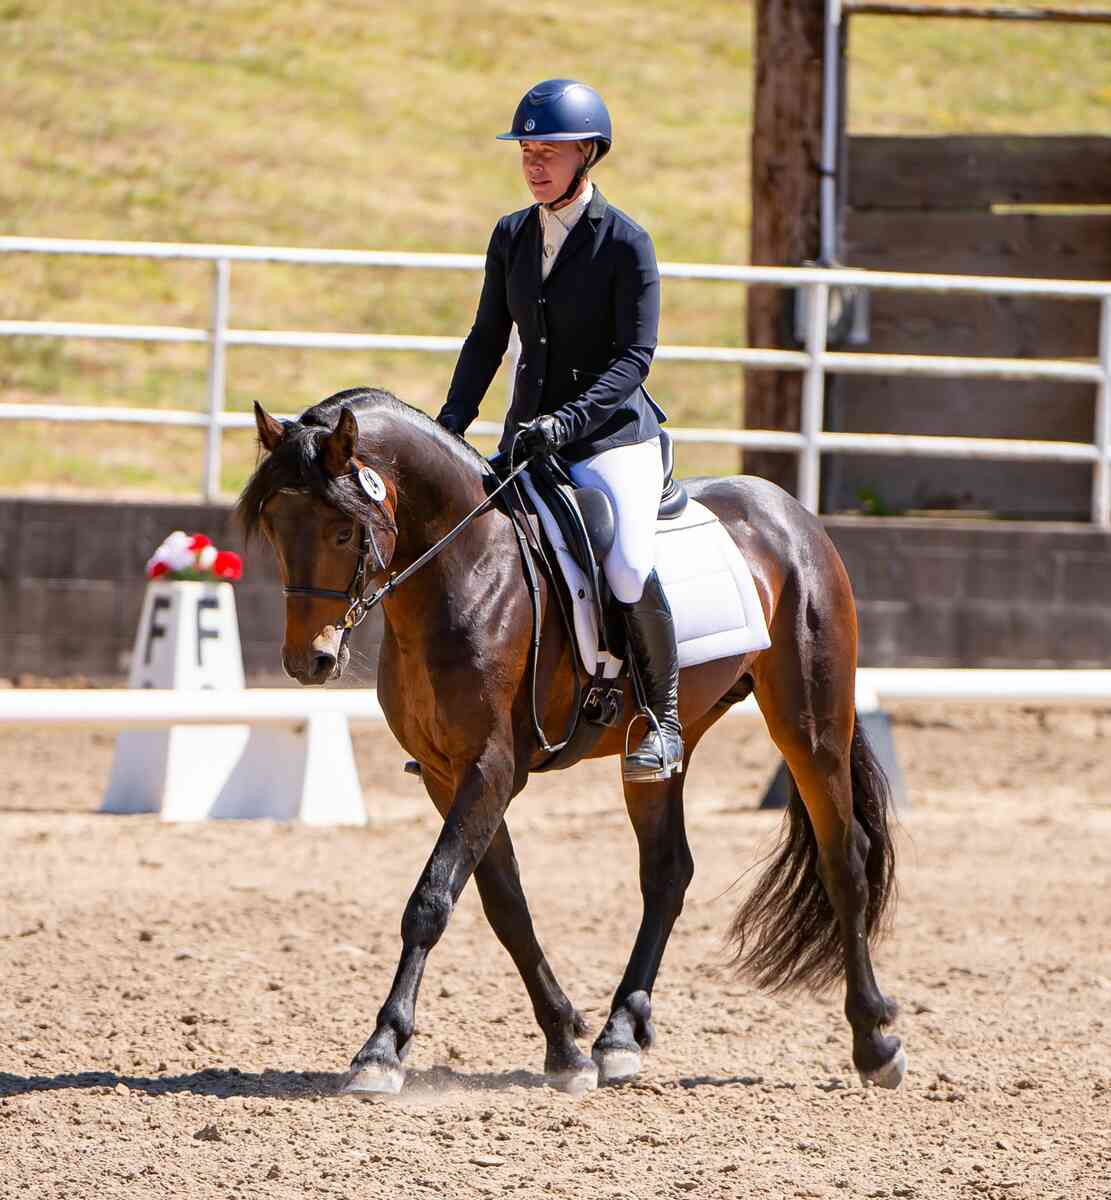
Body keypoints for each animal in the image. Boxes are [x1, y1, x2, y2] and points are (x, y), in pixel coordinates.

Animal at [237, 386, 902, 1099]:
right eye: (274, 528)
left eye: (342, 529)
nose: (309, 661)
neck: (467, 568)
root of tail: (792, 514)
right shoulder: (448, 773)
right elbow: (505, 904)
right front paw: (565, 1044)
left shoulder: (492, 766)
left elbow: (432, 899)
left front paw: (382, 1050)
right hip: (662, 749)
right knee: (668, 871)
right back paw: (621, 1035)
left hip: (812, 726)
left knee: (844, 859)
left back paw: (874, 1042)